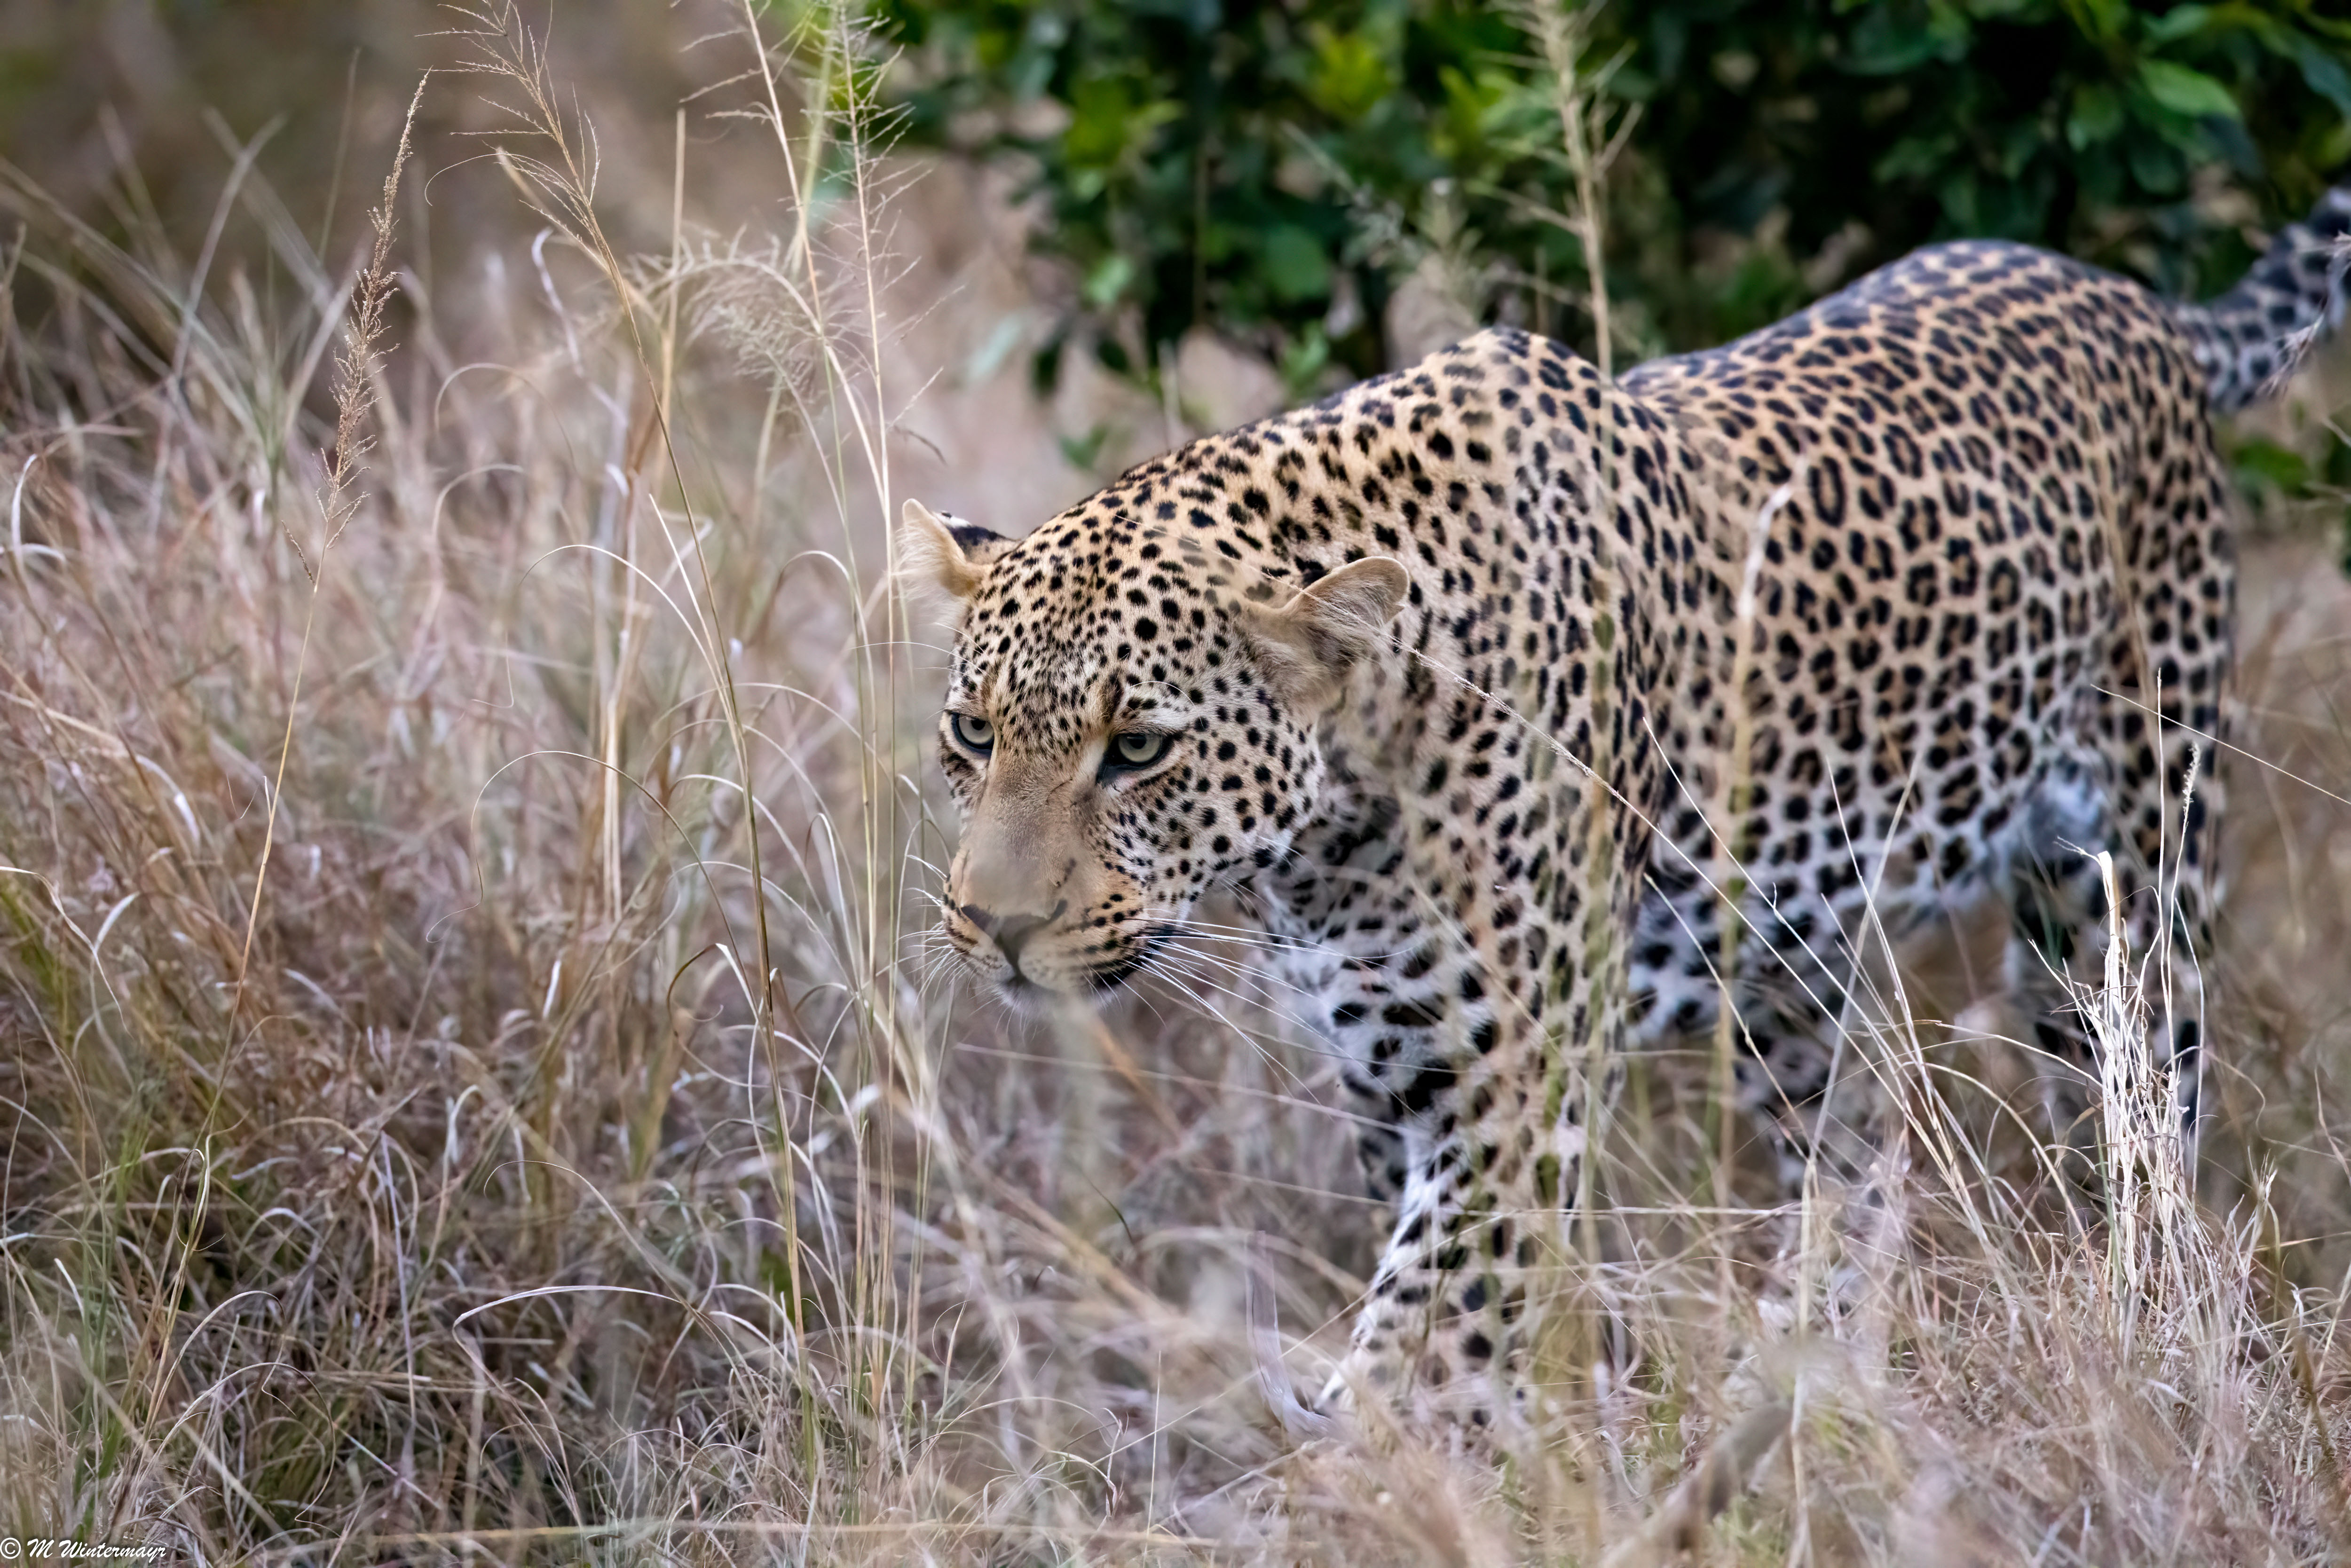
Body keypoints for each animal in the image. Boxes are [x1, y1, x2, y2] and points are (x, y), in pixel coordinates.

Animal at [898, 184, 2351, 1420]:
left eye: (1138, 749)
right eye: (973, 732)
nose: (995, 927)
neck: (1325, 838)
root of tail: (2136, 302)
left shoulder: (1508, 1081)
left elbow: (1427, 1344)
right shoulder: (1390, 1075)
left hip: (2127, 886)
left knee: (2138, 1122)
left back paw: (2143, 1329)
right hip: (1794, 963)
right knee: (1857, 1151)